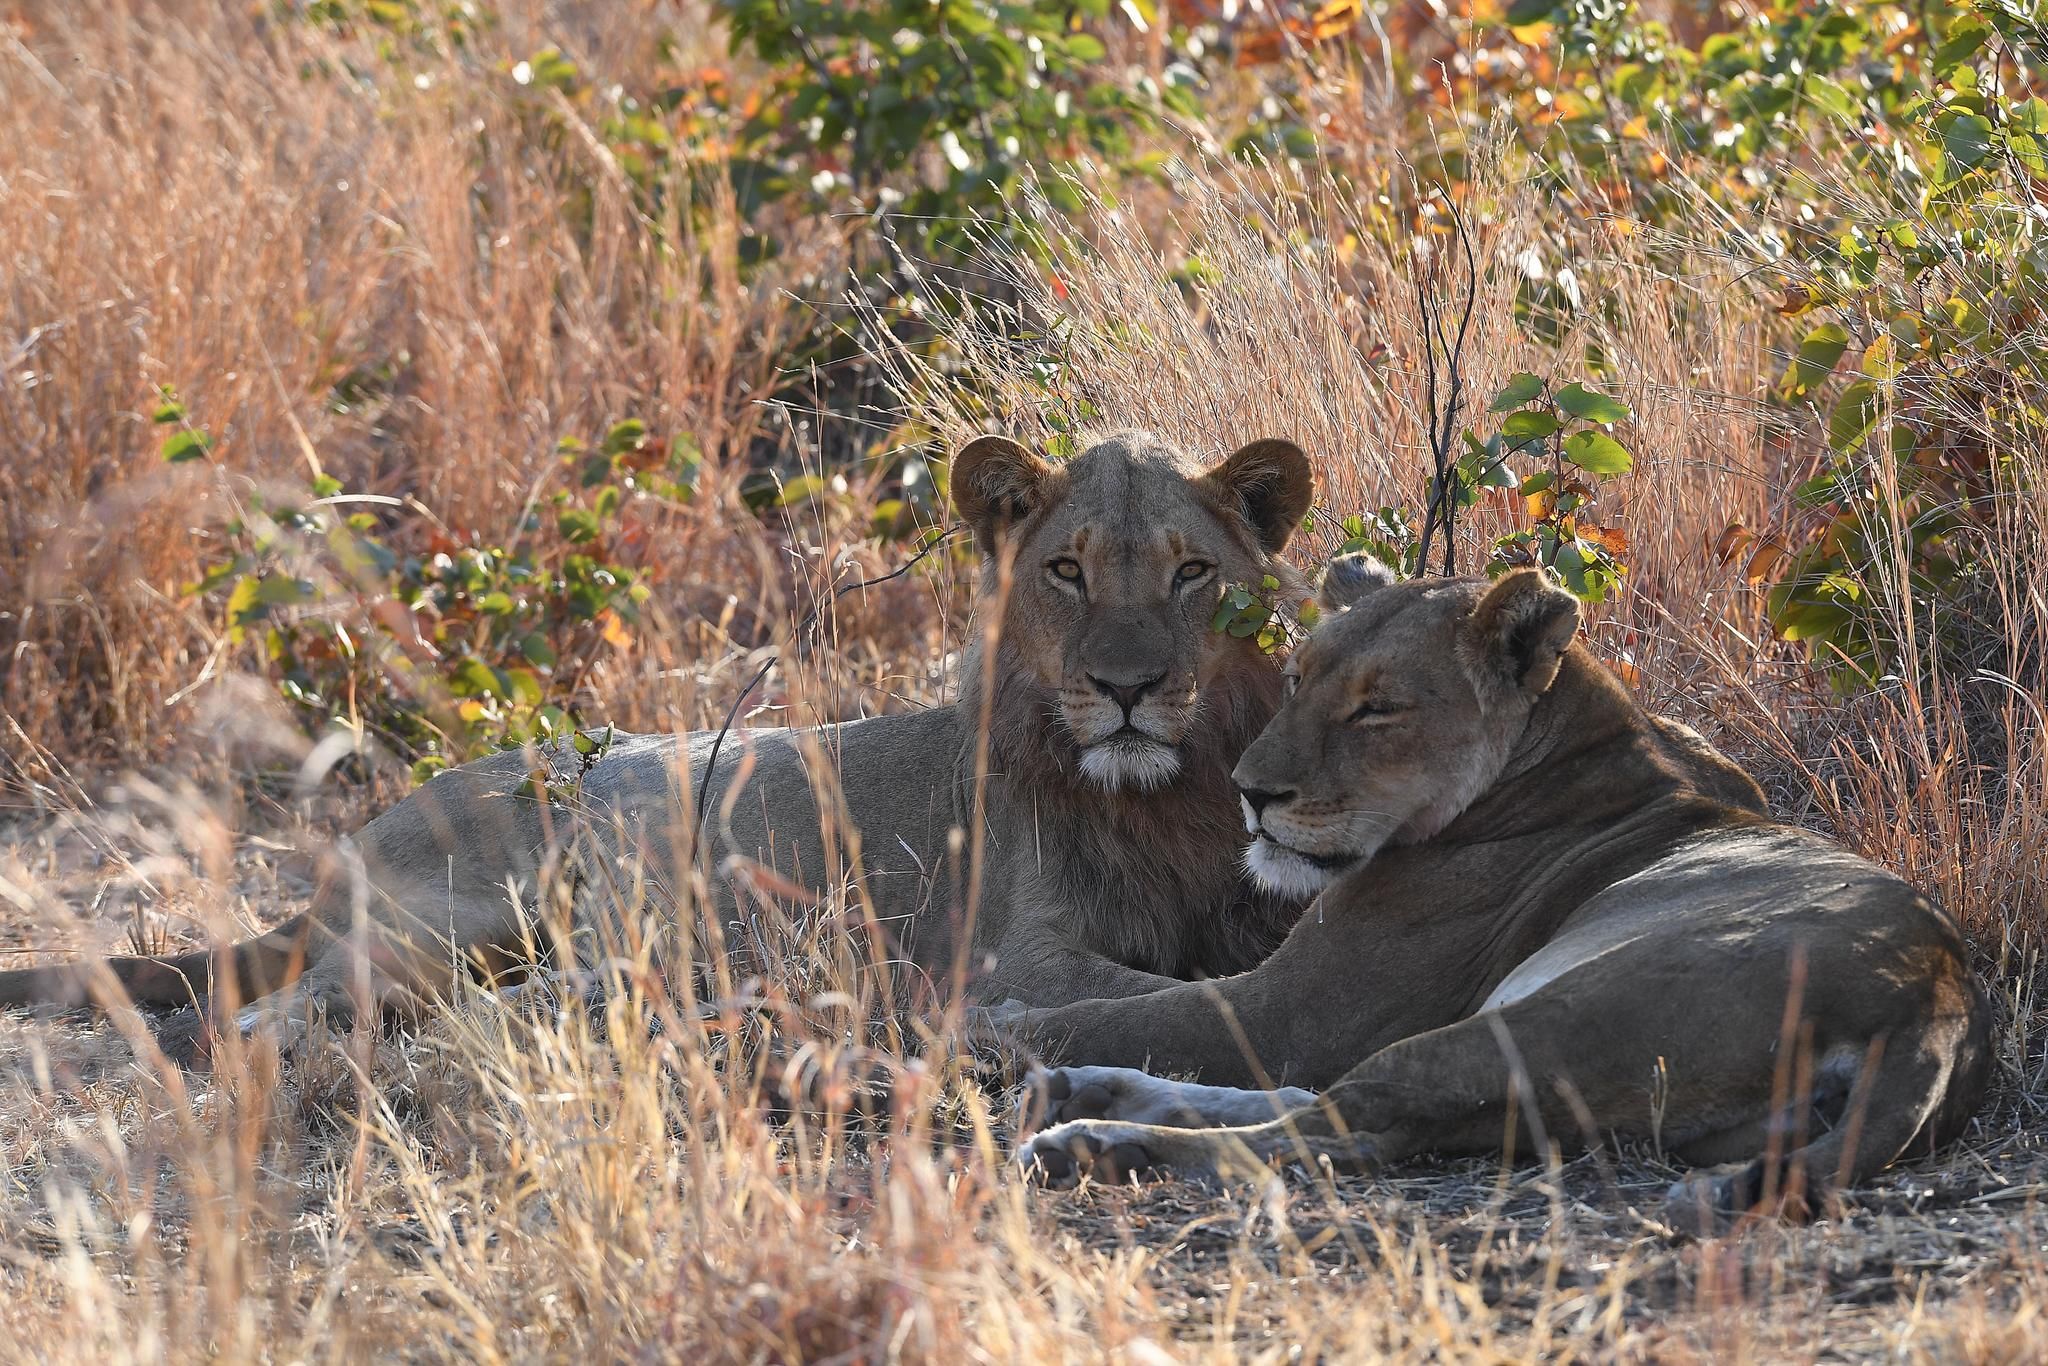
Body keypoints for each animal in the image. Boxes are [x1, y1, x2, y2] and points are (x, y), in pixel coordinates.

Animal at [0, 431, 1315, 1053]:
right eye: (1065, 570)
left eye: (1191, 573)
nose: (1127, 687)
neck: (1154, 797)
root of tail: (348, 848)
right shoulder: (1003, 963)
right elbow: (1174, 992)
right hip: (475, 909)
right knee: (286, 1006)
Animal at [1009, 557, 1993, 1231]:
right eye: (1295, 681)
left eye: (1378, 708)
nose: (1251, 794)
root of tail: (1937, 1001)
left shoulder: (1292, 1011)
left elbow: (1117, 1011)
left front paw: (992, 1023)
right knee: (1321, 1112)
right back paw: (1086, 1097)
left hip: (1550, 1019)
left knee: (1338, 1126)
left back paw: (1090, 1140)